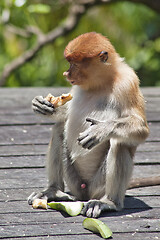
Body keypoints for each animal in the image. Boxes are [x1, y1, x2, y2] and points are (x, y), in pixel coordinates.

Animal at [28, 31, 149, 218]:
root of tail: (85, 191)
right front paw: (41, 104)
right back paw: (53, 191)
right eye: (69, 62)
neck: (102, 82)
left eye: (75, 64)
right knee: (59, 129)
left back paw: (109, 202)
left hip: (98, 185)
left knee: (119, 143)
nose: (66, 73)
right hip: (73, 180)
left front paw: (100, 130)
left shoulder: (129, 82)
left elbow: (141, 128)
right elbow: (67, 111)